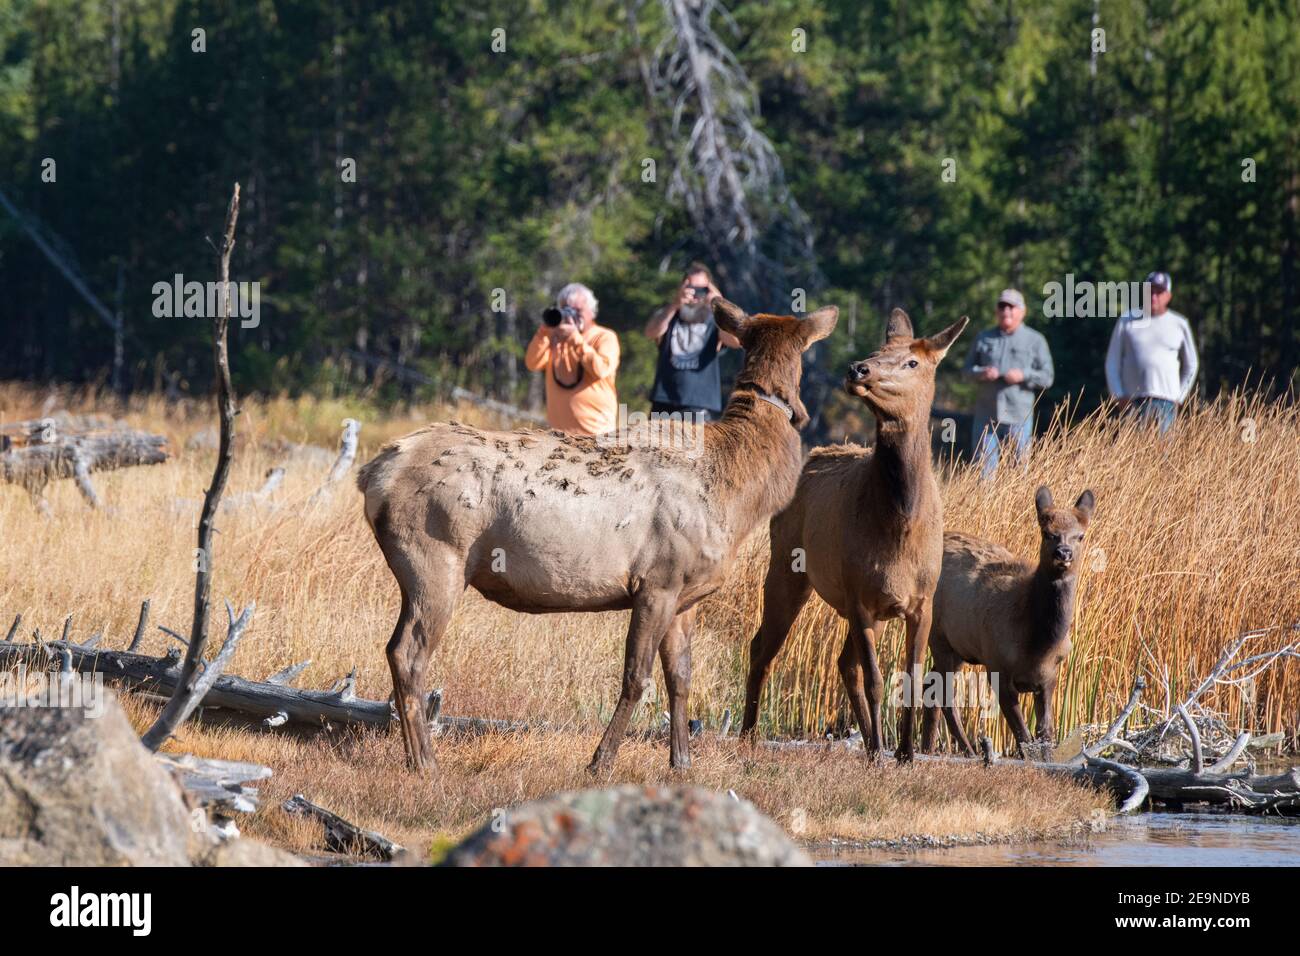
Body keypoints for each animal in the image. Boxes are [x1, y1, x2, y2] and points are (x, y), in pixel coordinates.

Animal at [361, 299, 837, 780]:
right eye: (804, 356)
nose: (801, 414)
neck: (736, 493)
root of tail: (373, 475)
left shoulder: (686, 593)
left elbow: (681, 677)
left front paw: (681, 763)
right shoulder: (657, 581)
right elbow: (637, 676)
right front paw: (600, 761)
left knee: (393, 648)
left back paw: (414, 756)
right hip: (436, 559)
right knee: (409, 653)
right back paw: (426, 762)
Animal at [743, 312, 967, 764]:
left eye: (912, 362)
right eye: (879, 350)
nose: (857, 369)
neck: (900, 527)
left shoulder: (921, 602)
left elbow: (913, 679)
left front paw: (905, 753)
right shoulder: (861, 598)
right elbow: (877, 680)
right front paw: (884, 750)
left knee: (843, 662)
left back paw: (868, 744)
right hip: (789, 568)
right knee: (764, 646)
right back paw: (749, 735)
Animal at [925, 489, 1097, 759]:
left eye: (1080, 535)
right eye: (1047, 532)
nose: (1063, 553)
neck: (1036, 644)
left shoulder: (1049, 676)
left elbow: (1045, 732)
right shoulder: (997, 667)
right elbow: (1023, 737)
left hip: (959, 647)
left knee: (929, 683)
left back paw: (926, 747)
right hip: (938, 636)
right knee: (944, 694)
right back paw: (969, 751)